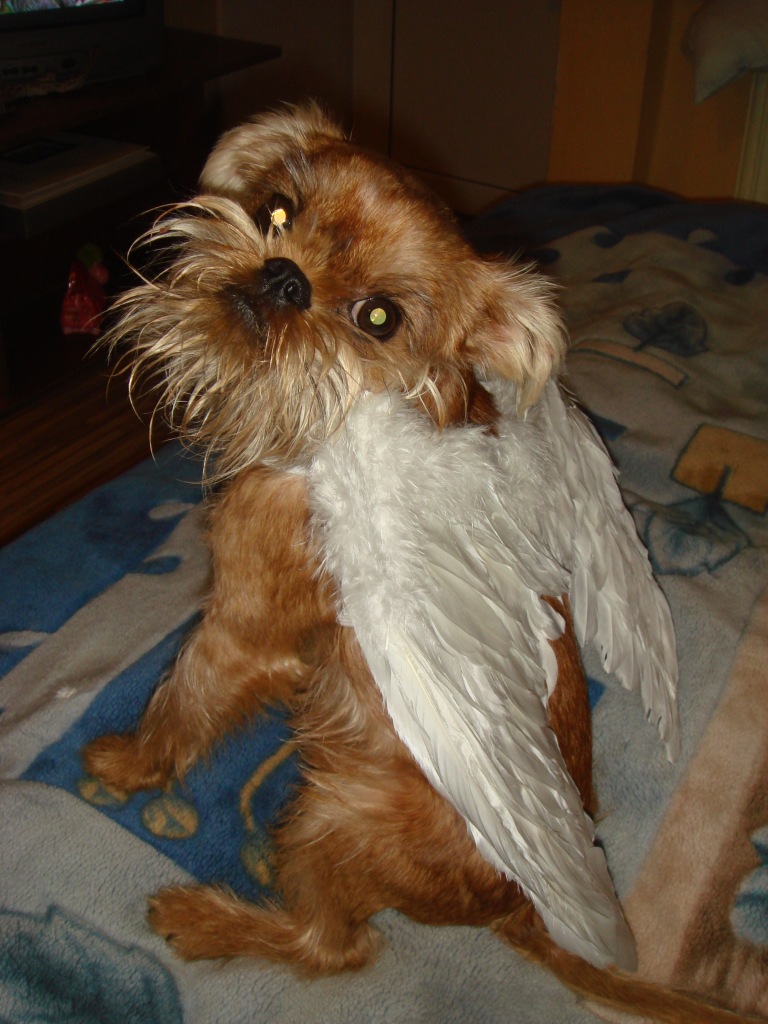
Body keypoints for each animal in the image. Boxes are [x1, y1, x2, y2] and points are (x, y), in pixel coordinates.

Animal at [83, 104, 741, 1023]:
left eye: (379, 319)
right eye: (278, 210)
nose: (284, 277)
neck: (345, 404)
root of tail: (515, 910)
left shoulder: (240, 628)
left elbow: (183, 702)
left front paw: (129, 765)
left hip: (333, 818)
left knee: (335, 947)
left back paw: (209, 920)